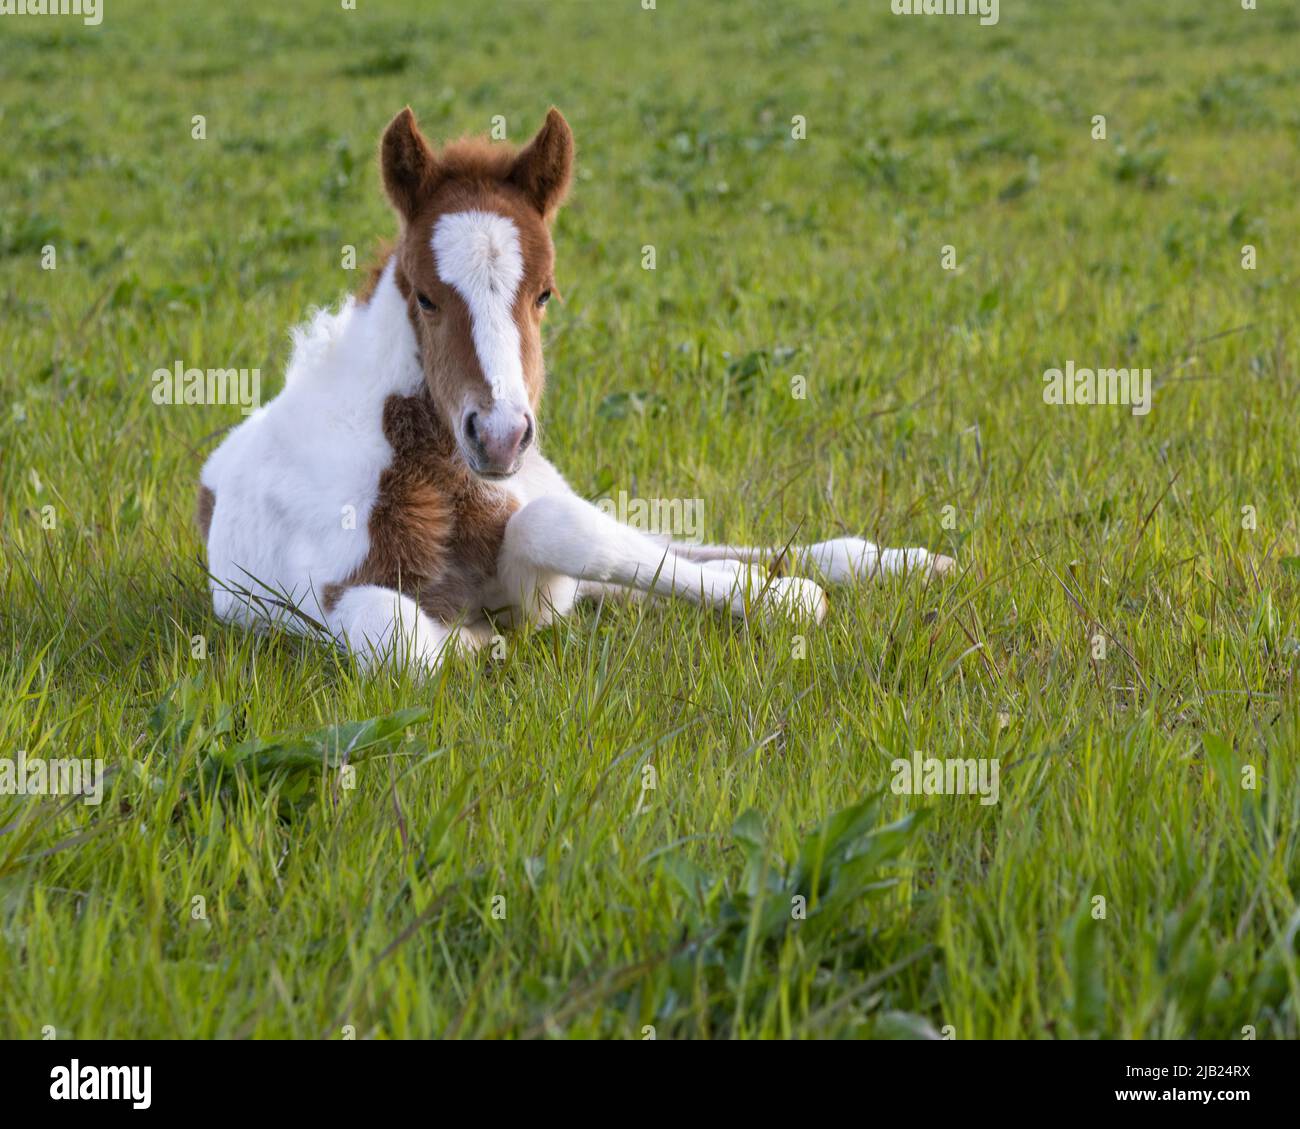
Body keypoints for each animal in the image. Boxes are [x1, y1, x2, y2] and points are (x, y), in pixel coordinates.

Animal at [197, 107, 955, 672]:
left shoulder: (532, 536)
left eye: (545, 293)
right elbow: (403, 638)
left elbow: (562, 533)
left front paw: (790, 600)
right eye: (426, 297)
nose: (500, 436)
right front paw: (476, 642)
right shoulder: (326, 595)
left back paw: (906, 564)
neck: (422, 472)